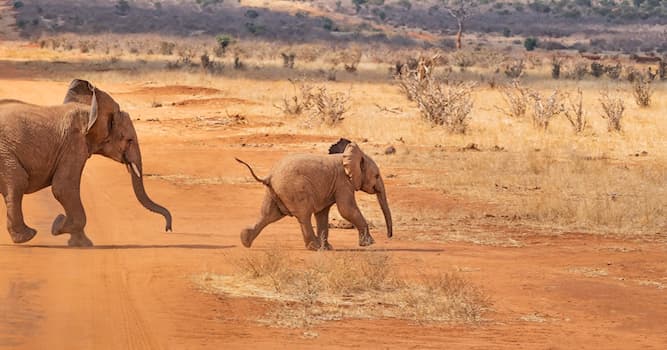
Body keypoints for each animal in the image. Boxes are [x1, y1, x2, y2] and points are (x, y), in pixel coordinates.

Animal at [0, 79, 172, 246]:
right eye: (129, 140)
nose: (168, 229)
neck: (91, 111)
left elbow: (63, 188)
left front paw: (71, 237)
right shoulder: (74, 143)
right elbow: (63, 187)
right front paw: (65, 232)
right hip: (4, 153)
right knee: (18, 182)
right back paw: (27, 236)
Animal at [236, 138, 392, 250]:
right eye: (377, 176)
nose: (389, 237)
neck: (347, 156)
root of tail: (270, 176)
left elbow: (322, 214)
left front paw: (328, 248)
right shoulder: (343, 183)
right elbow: (346, 210)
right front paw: (370, 244)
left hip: (274, 192)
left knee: (268, 215)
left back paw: (245, 241)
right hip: (295, 189)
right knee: (303, 216)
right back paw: (314, 247)